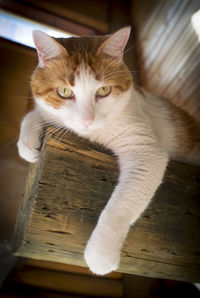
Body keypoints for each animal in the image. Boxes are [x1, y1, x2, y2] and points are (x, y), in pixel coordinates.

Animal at [17, 27, 200, 274]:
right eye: (64, 91)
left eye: (104, 90)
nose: (87, 120)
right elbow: (40, 115)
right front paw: (27, 141)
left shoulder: (146, 151)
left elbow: (119, 207)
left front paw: (100, 254)